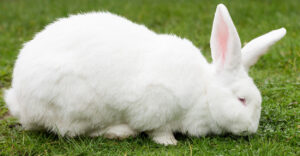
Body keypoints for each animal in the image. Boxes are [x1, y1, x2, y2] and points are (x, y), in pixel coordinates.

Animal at [5, 3, 286, 145]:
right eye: (241, 100)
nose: (251, 129)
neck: (204, 93)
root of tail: (19, 97)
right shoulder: (155, 106)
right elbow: (157, 130)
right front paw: (169, 142)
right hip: (75, 105)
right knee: (69, 131)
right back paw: (118, 131)